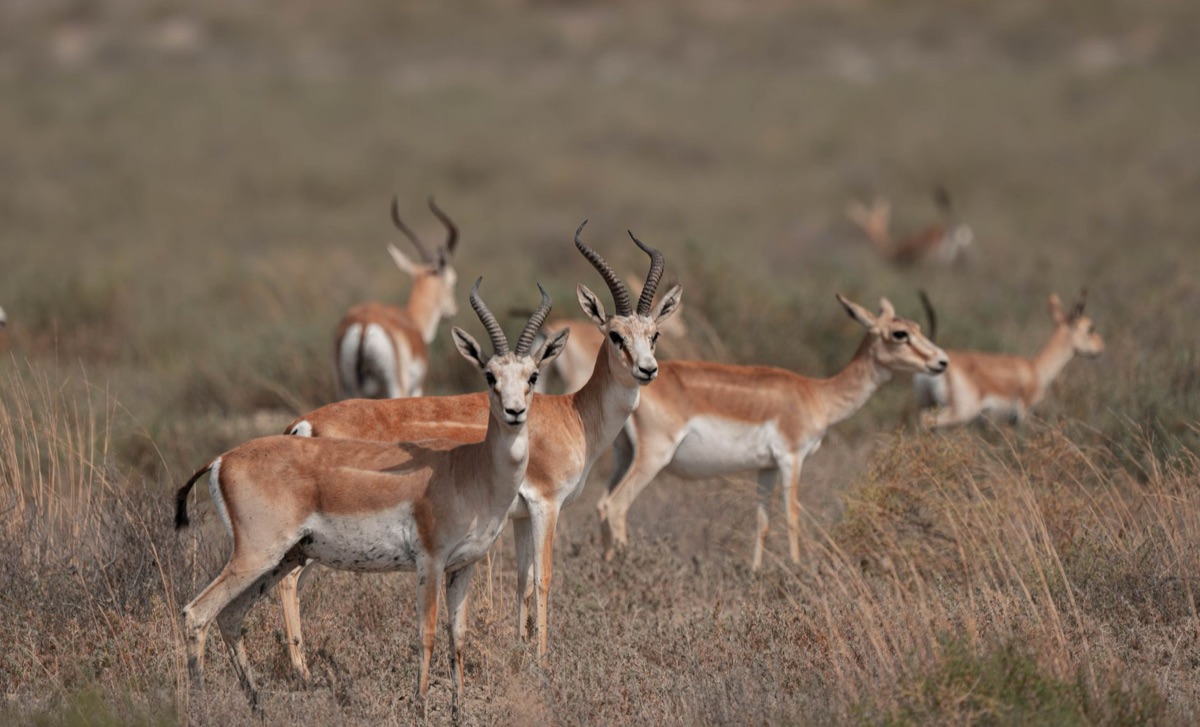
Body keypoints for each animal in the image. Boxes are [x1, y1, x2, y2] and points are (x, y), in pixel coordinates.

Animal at [174, 280, 567, 711]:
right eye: (489, 375)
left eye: (533, 375)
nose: (514, 412)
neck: (470, 469)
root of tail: (221, 459)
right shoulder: (430, 562)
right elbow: (427, 634)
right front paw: (421, 706)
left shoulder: (463, 567)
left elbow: (458, 637)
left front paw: (458, 709)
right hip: (256, 556)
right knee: (196, 613)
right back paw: (201, 703)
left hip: (282, 558)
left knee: (229, 616)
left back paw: (258, 703)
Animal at [280, 223, 681, 670]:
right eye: (615, 335)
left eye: (654, 334)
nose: (648, 369)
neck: (573, 414)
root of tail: (305, 424)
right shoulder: (546, 506)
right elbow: (543, 577)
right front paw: (543, 659)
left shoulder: (520, 517)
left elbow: (523, 580)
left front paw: (522, 648)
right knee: (287, 582)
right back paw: (300, 670)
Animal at [334, 196, 460, 399]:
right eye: (453, 280)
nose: (453, 310)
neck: (412, 319)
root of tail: (364, 326)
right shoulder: (416, 388)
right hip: (396, 387)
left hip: (346, 389)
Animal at [595, 294, 949, 570]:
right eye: (899, 333)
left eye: (917, 327)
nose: (941, 361)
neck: (815, 394)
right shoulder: (791, 458)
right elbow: (792, 518)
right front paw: (796, 568)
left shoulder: (765, 467)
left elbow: (762, 522)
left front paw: (756, 572)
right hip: (653, 457)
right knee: (617, 505)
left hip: (624, 456)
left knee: (601, 505)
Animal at [913, 289, 1103, 428]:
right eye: (1090, 328)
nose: (1100, 348)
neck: (1036, 369)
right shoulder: (1023, 413)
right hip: (960, 412)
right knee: (926, 420)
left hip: (928, 403)